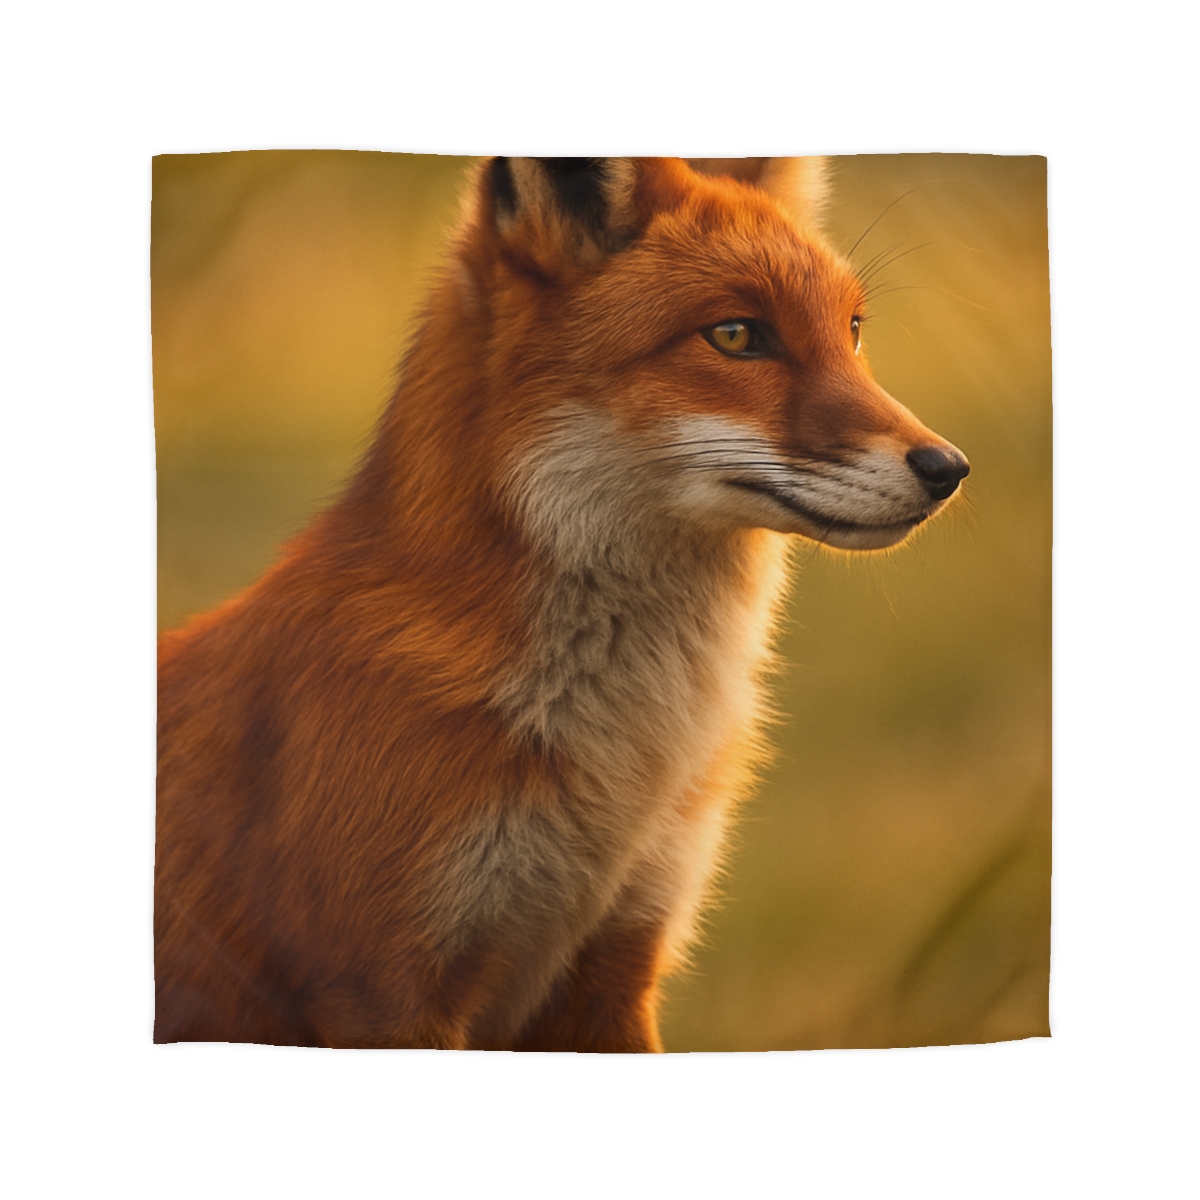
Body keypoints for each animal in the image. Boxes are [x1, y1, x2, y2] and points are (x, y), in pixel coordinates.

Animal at [155, 155, 969, 1051]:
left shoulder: (616, 966)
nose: (948, 468)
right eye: (735, 335)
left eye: (851, 330)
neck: (624, 758)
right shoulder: (384, 987)